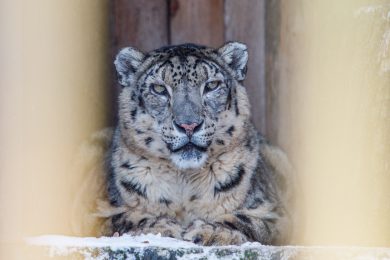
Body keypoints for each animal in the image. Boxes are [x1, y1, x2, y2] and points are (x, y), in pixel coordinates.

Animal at [103, 41, 292, 245]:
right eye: (159, 89)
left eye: (212, 85)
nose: (189, 125)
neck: (183, 182)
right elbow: (124, 218)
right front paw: (160, 227)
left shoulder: (275, 213)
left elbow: (250, 220)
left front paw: (212, 232)